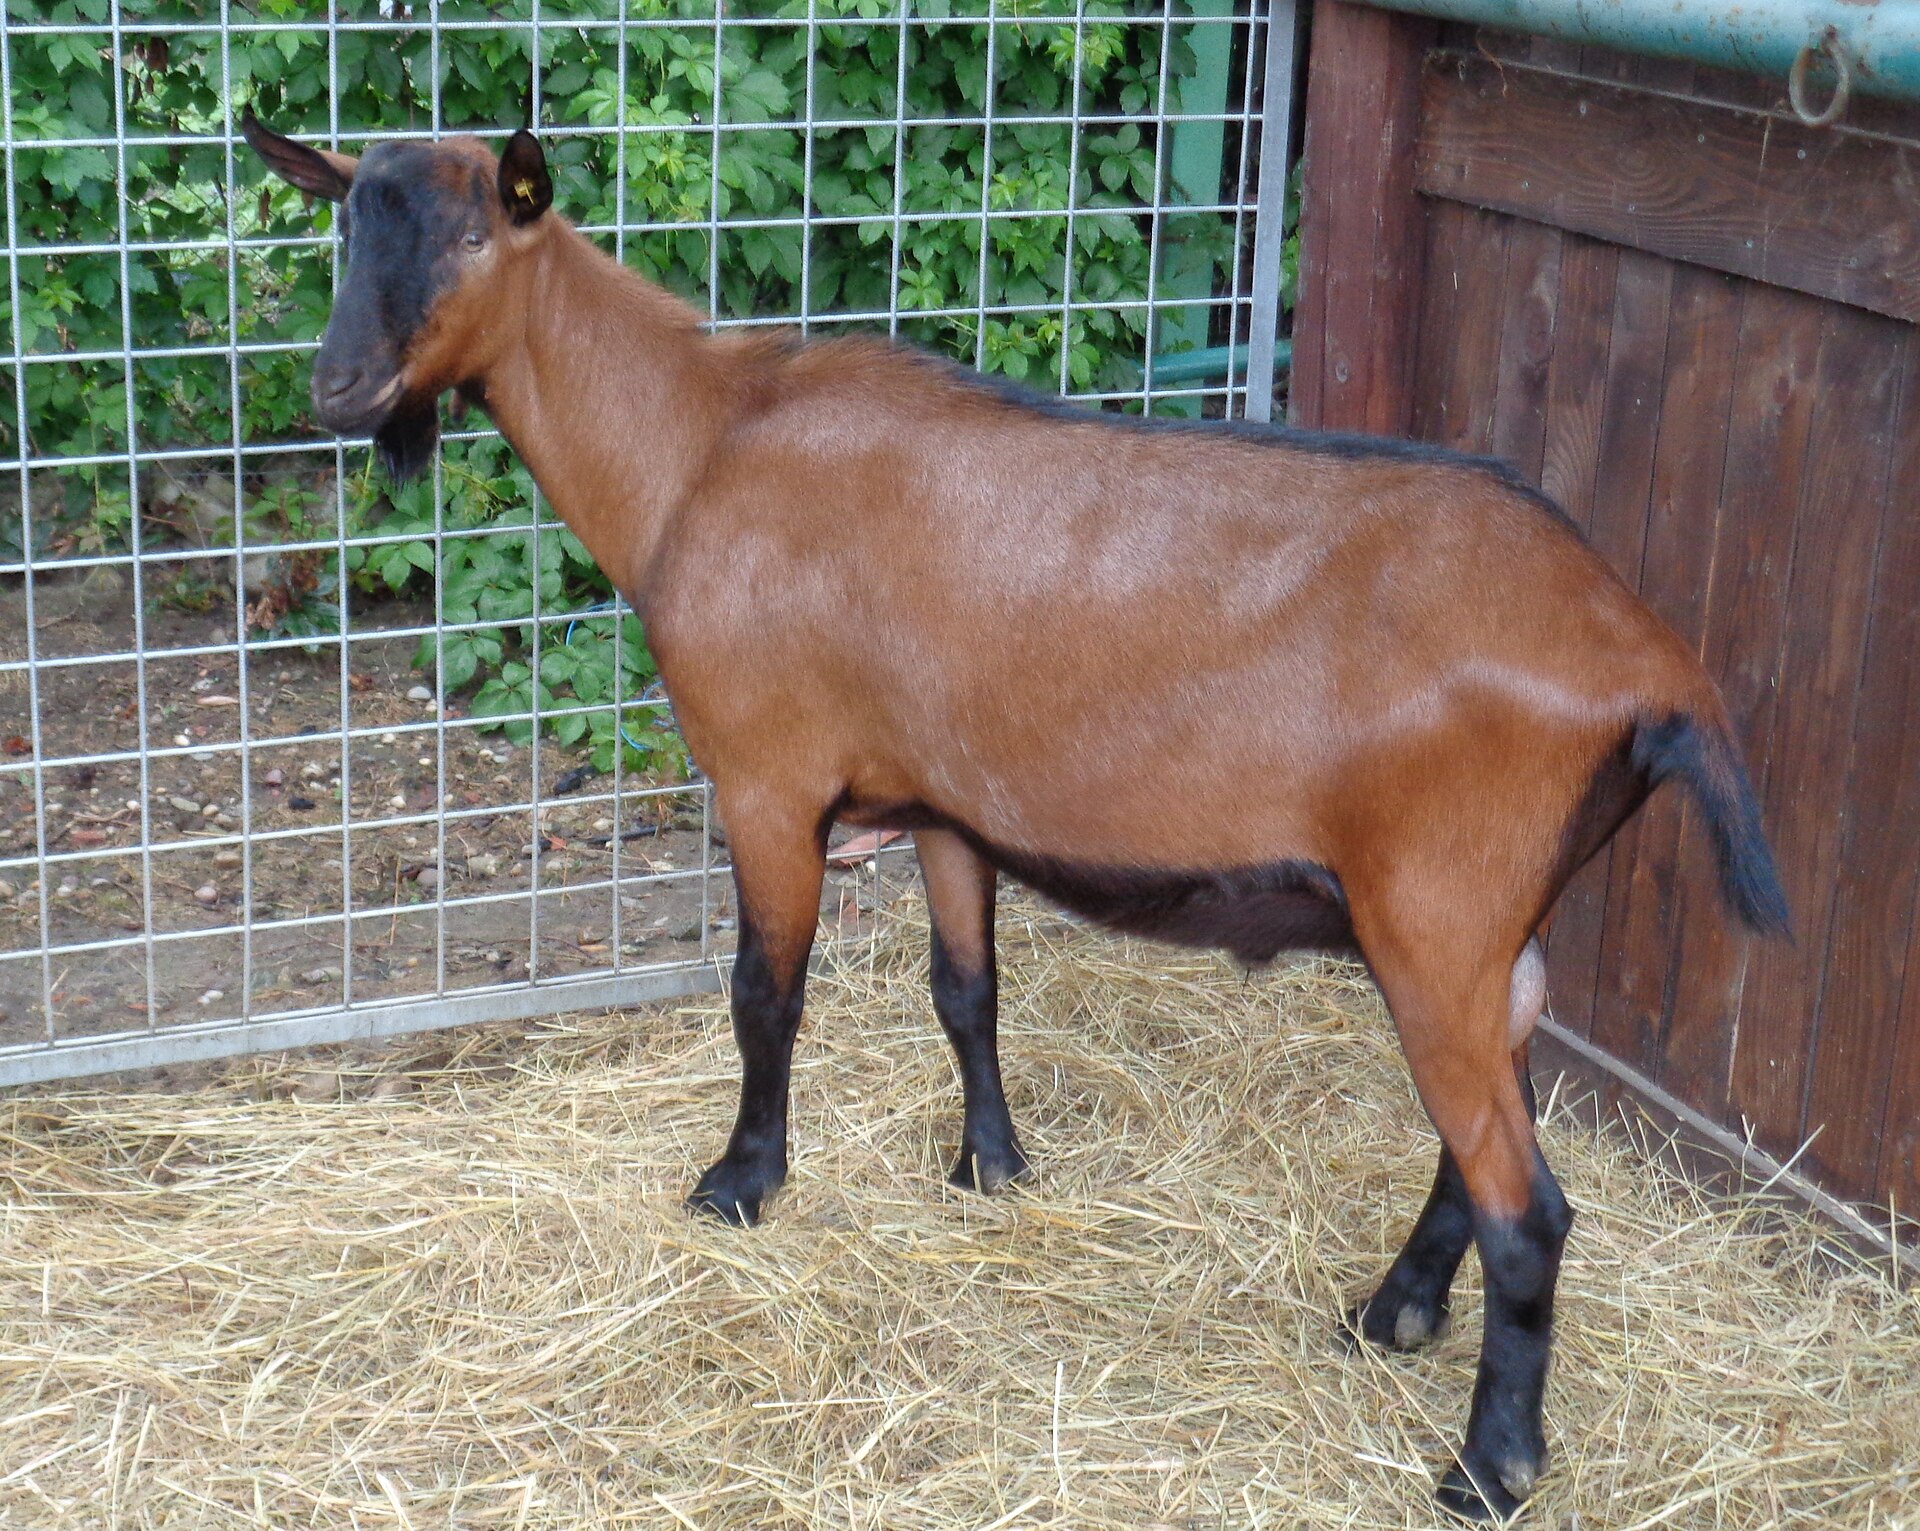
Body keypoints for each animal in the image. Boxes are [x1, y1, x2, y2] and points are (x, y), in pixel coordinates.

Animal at [244, 118, 1787, 1522]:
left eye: (465, 235)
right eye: (343, 226)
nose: (335, 386)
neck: (698, 446)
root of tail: (1654, 664)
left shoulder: (766, 777)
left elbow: (765, 991)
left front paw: (741, 1181)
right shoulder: (942, 800)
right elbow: (964, 987)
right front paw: (990, 1164)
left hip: (1438, 910)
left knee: (1531, 1207)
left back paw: (1486, 1466)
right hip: (1493, 922)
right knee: (1490, 1127)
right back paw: (1393, 1309)